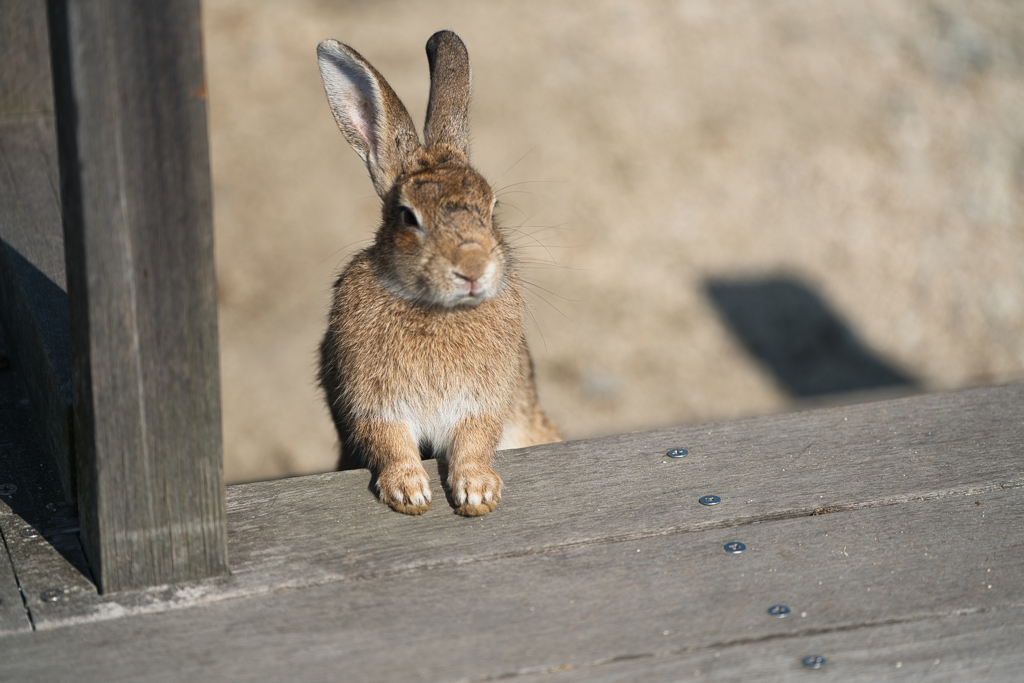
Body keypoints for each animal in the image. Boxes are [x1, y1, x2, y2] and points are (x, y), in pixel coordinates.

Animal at [317, 29, 565, 516]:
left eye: (492, 209)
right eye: (407, 217)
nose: (473, 270)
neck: (436, 310)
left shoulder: (483, 403)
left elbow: (475, 440)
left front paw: (477, 493)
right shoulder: (372, 404)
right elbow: (389, 442)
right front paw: (409, 493)